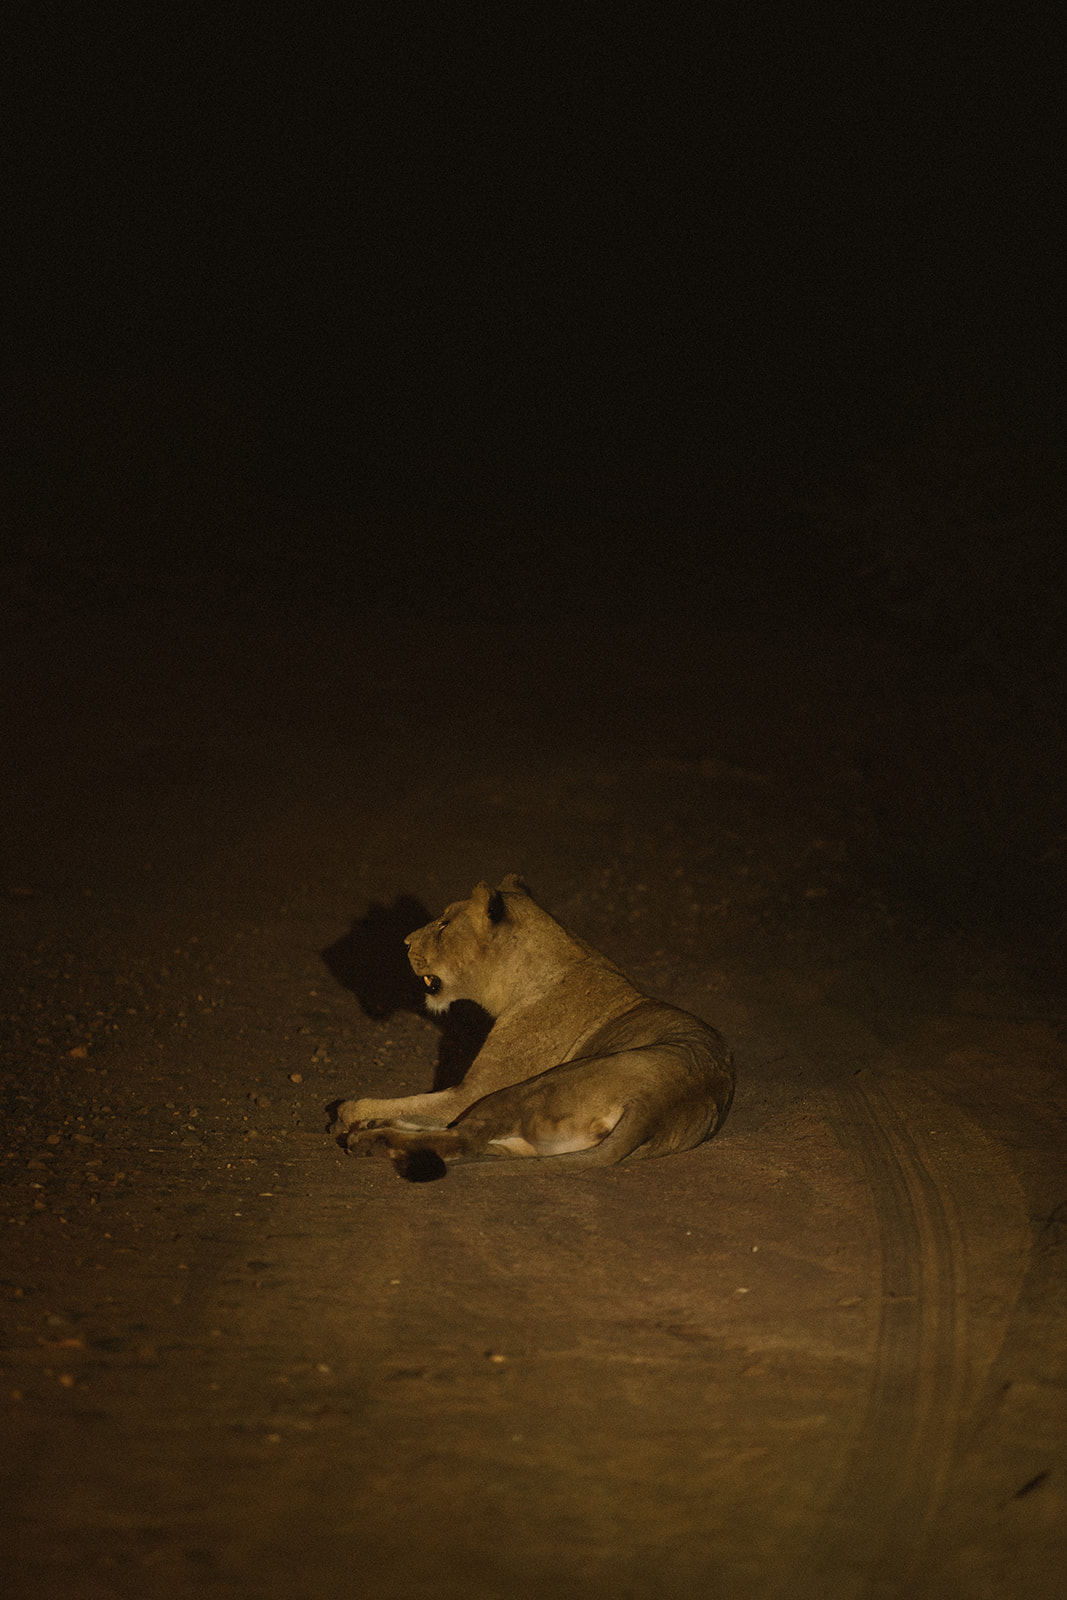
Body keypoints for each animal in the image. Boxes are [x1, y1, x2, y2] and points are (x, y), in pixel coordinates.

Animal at [331, 875, 734, 1181]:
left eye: (444, 925)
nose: (405, 942)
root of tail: (655, 1106)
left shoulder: (473, 1090)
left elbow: (423, 1105)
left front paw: (348, 1111)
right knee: (479, 1143)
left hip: (529, 1088)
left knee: (464, 1137)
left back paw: (367, 1137)